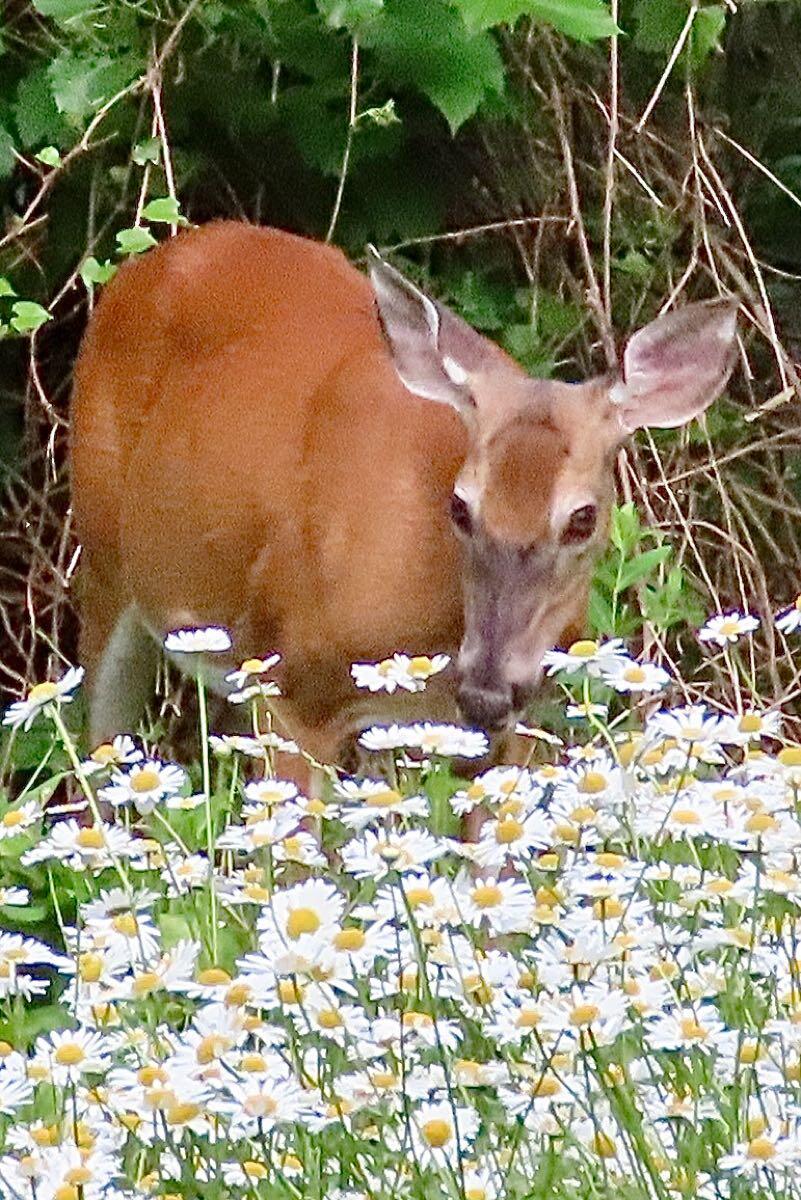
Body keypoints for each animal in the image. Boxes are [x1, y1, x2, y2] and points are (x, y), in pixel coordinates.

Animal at [71, 219, 743, 772]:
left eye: (582, 519)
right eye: (459, 506)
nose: (485, 693)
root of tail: (139, 264)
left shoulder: (520, 726)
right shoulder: (291, 685)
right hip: (104, 559)